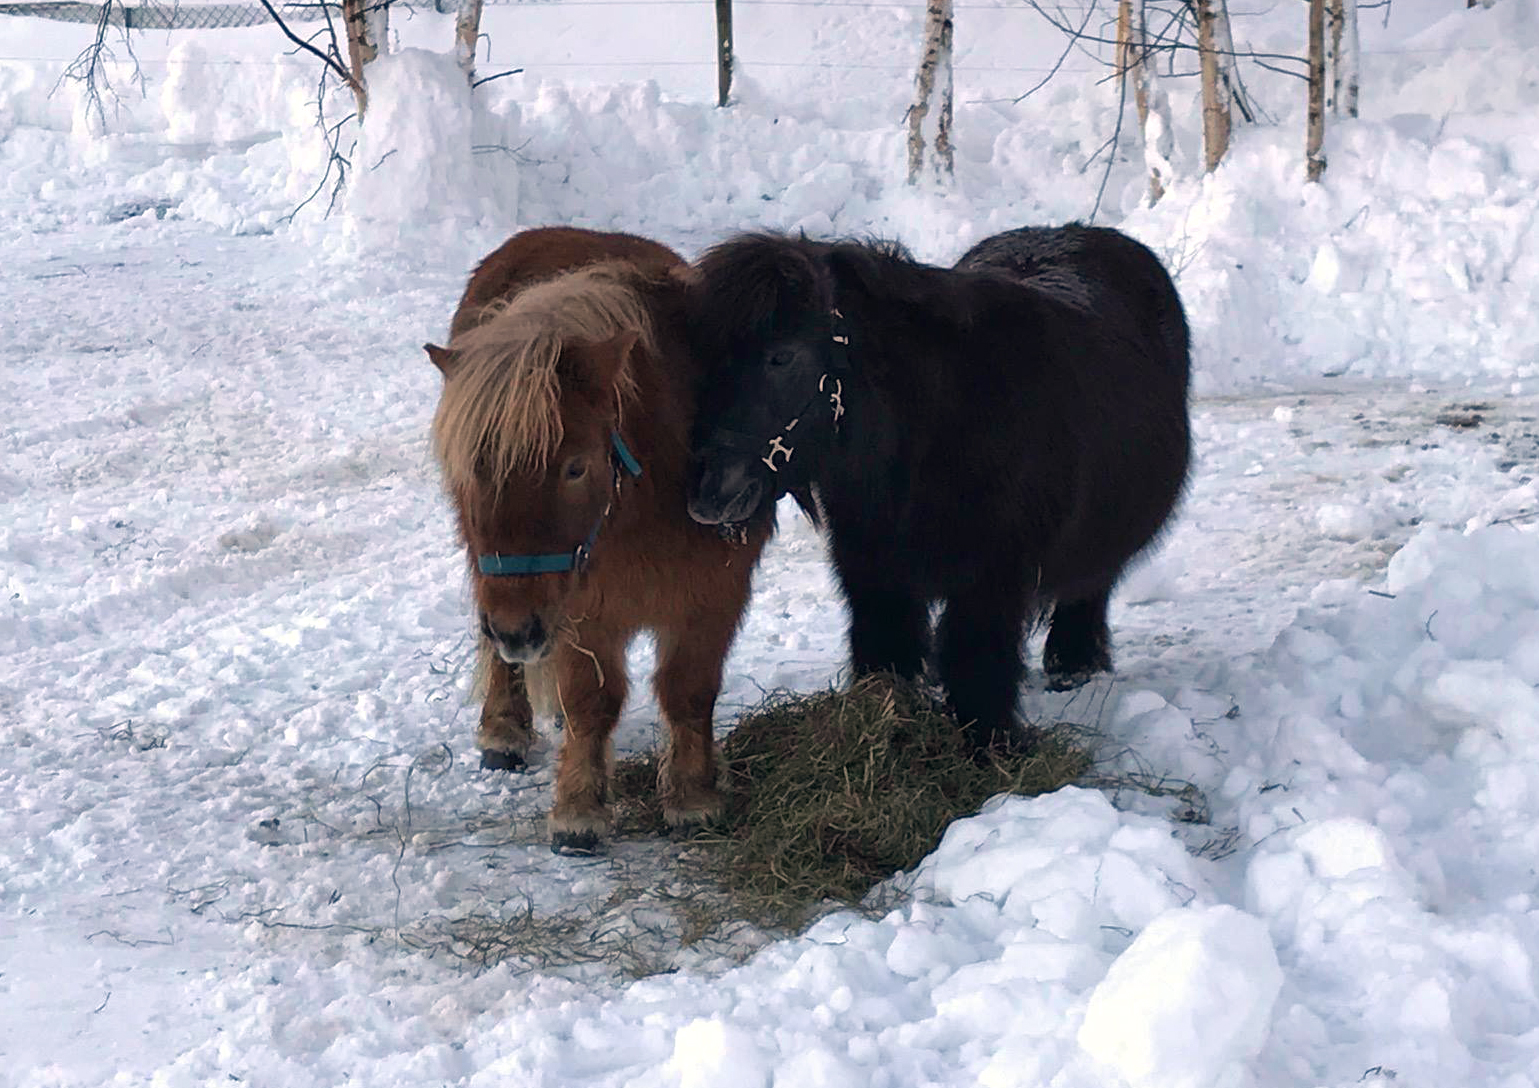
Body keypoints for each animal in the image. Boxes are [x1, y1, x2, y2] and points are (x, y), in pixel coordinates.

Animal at [427, 226, 769, 849]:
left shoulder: (716, 594)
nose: (517, 630)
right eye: (472, 468)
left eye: (575, 467)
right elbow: (593, 699)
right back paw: (504, 728)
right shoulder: (581, 610)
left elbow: (689, 689)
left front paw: (693, 796)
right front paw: (579, 809)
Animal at [683, 226, 1188, 754]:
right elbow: (888, 654)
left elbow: (978, 666)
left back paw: (1073, 666)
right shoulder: (873, 572)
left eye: (781, 356)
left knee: (1089, 588)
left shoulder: (990, 583)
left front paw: (988, 747)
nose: (708, 494)